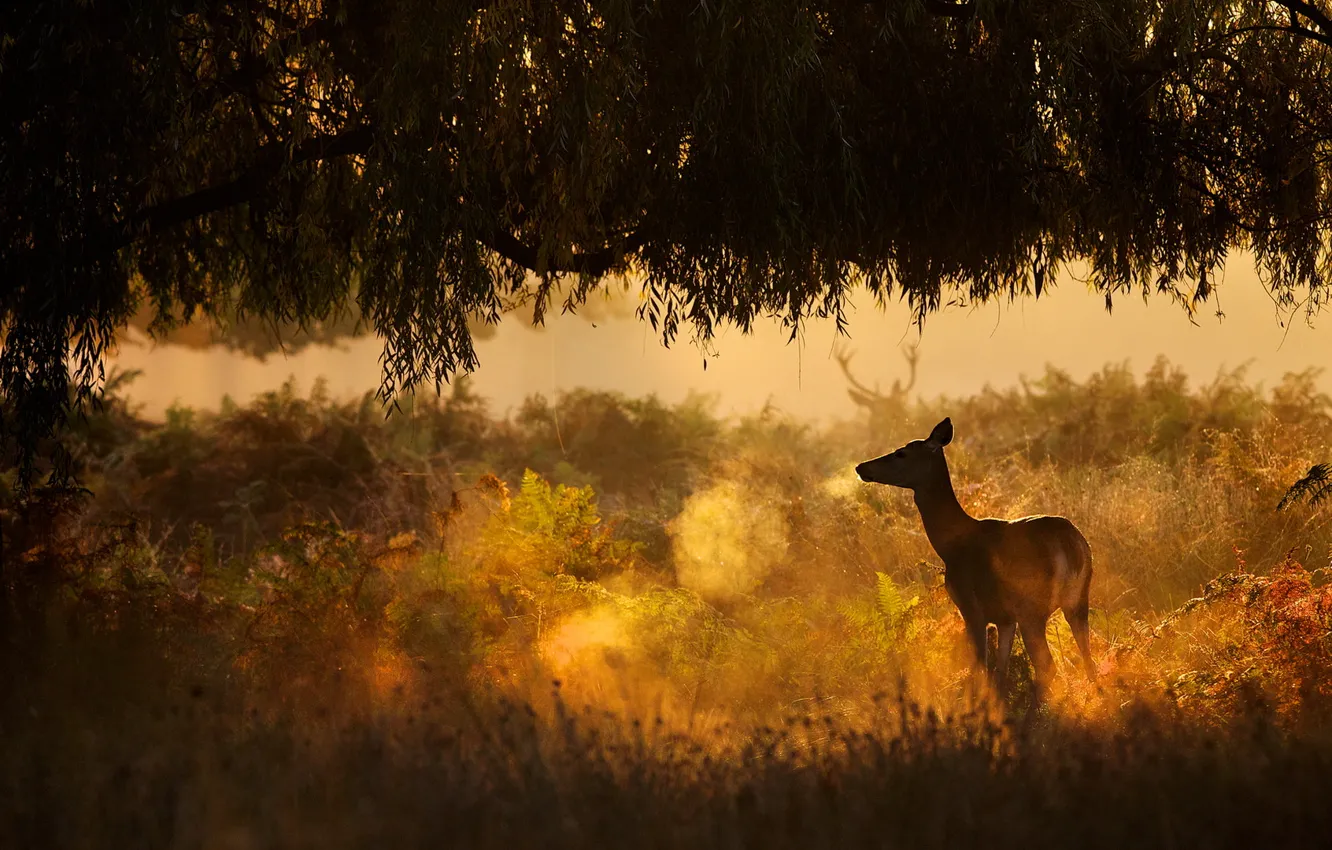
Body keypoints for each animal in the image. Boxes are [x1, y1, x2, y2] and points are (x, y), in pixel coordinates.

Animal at [855, 418, 1095, 705]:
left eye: (901, 452)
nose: (861, 467)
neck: (949, 545)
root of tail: (1068, 544)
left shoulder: (970, 607)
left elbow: (980, 666)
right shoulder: (1005, 618)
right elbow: (1000, 670)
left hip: (1031, 607)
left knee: (1049, 667)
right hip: (1078, 600)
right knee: (1088, 659)